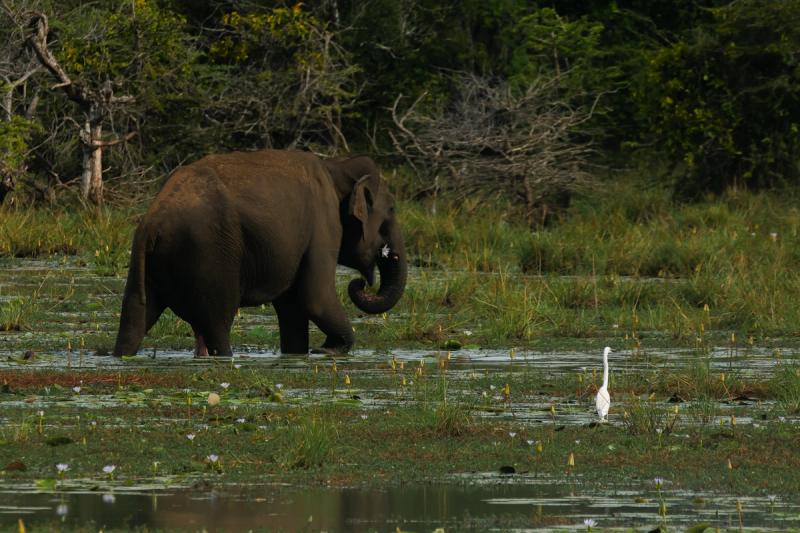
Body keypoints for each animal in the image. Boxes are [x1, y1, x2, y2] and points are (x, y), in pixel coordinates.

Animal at [112, 149, 407, 357]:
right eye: (392, 210)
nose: (361, 283)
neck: (338, 166)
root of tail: (151, 222)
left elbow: (292, 307)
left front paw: (303, 353)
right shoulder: (323, 226)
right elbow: (315, 296)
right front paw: (328, 349)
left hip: (148, 261)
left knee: (135, 318)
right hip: (209, 256)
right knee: (218, 324)